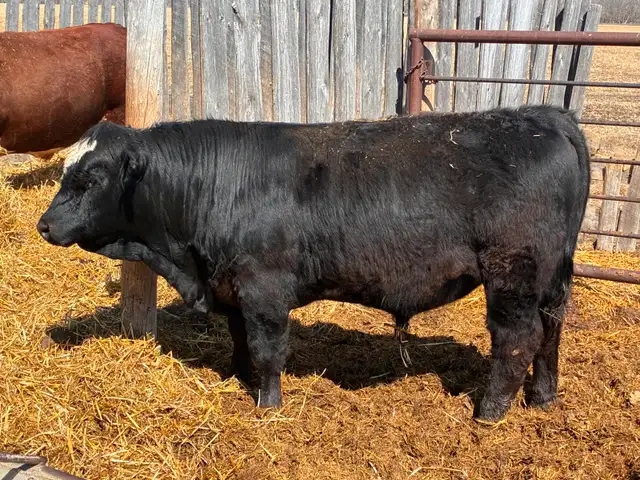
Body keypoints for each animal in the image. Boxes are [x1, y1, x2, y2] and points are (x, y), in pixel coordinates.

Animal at [37, 105, 590, 423]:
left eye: (90, 179)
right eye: (65, 171)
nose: (44, 225)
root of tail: (545, 115)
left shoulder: (264, 289)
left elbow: (268, 350)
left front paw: (268, 406)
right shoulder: (232, 287)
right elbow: (240, 342)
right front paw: (236, 380)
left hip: (512, 272)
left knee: (517, 339)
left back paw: (490, 412)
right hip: (550, 277)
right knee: (551, 330)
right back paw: (543, 398)